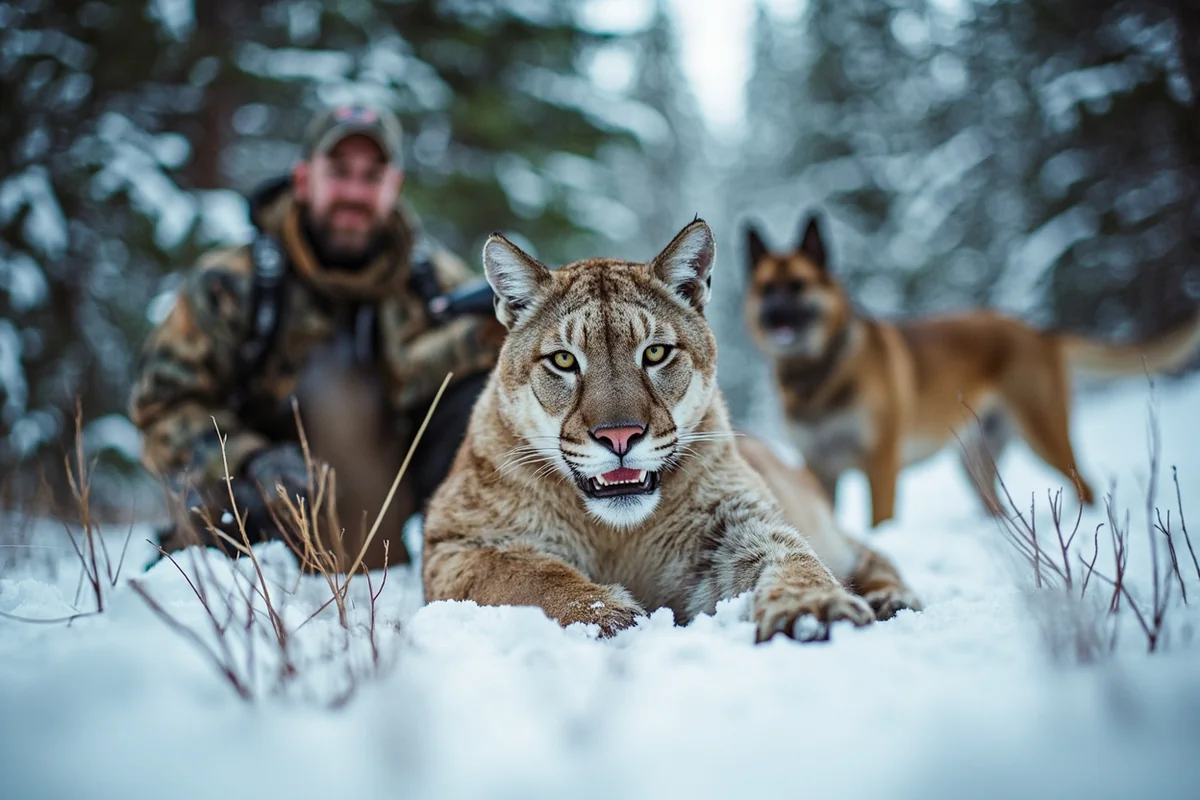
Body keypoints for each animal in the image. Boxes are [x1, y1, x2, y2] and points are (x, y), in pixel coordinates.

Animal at [422, 219, 919, 642]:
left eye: (656, 353)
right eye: (563, 360)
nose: (620, 437)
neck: (615, 533)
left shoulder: (735, 521)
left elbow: (793, 556)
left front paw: (813, 608)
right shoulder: (456, 543)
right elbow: (524, 576)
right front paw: (605, 613)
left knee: (867, 552)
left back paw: (891, 597)